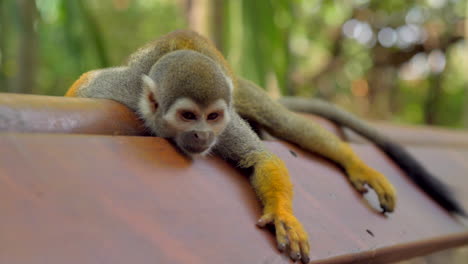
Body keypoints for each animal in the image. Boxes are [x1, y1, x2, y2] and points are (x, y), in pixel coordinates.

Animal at [66, 30, 464, 262]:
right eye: (188, 116)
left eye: (211, 117)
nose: (203, 137)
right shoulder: (119, 92)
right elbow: (84, 84)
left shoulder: (227, 124)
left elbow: (261, 156)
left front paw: (282, 216)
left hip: (240, 93)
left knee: (285, 123)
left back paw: (354, 162)